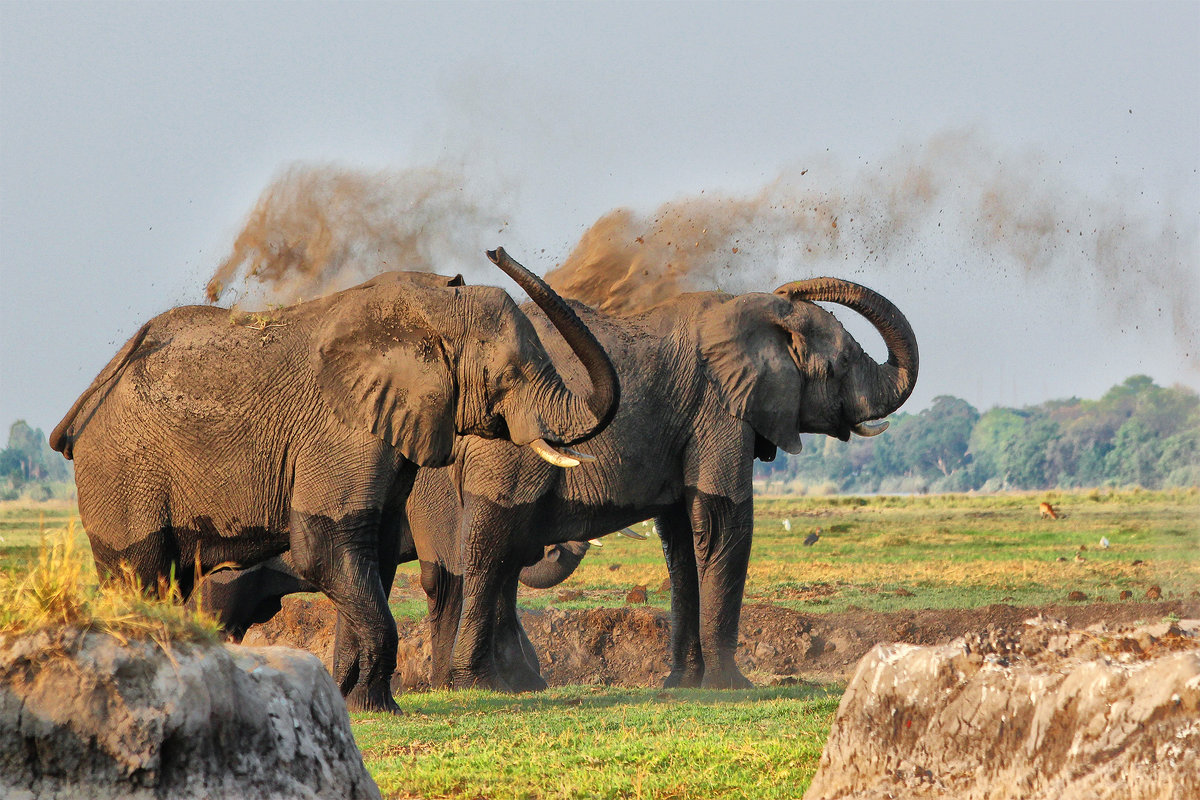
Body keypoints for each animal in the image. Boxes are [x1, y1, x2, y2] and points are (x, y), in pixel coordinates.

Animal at [46, 248, 619, 714]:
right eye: (511, 375)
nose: (495, 249)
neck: (430, 310)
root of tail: (84, 402)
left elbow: (373, 550)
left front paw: (366, 701)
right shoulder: (339, 429)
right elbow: (325, 547)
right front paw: (373, 708)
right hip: (120, 471)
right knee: (138, 577)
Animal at [403, 273, 916, 690]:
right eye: (841, 364)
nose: (790, 289)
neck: (749, 315)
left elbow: (683, 540)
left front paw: (683, 684)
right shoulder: (718, 411)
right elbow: (724, 521)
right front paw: (732, 687)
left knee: (501, 554)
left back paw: (517, 685)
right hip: (508, 451)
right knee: (488, 549)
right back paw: (478, 684)